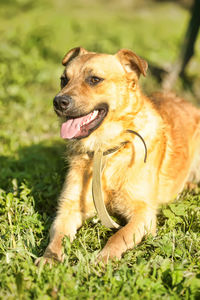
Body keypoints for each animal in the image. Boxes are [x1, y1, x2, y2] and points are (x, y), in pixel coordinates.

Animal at [35, 47, 200, 264]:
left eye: (94, 79)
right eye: (64, 80)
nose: (58, 102)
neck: (105, 151)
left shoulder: (143, 214)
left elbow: (118, 235)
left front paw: (104, 259)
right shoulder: (68, 208)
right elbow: (58, 236)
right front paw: (50, 258)